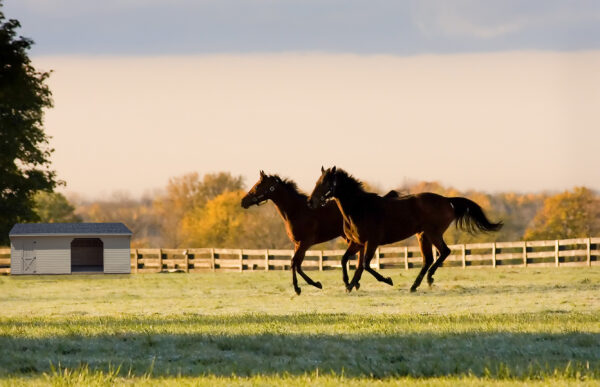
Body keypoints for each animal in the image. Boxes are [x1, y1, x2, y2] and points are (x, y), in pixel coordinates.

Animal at [239, 171, 398, 296]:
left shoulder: (305, 243)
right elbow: (295, 264)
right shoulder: (297, 244)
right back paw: (355, 283)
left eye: (258, 186)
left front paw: (306, 286)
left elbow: (295, 263)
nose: (243, 201)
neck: (296, 211)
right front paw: (306, 286)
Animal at [310, 166, 502, 292]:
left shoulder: (372, 242)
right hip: (422, 235)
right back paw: (415, 285)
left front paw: (387, 280)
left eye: (325, 183)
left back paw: (429, 279)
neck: (359, 208)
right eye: (317, 182)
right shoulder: (357, 243)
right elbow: (346, 261)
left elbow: (365, 264)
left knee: (444, 252)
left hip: (433, 233)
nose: (311, 202)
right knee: (428, 259)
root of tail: (447, 201)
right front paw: (348, 284)